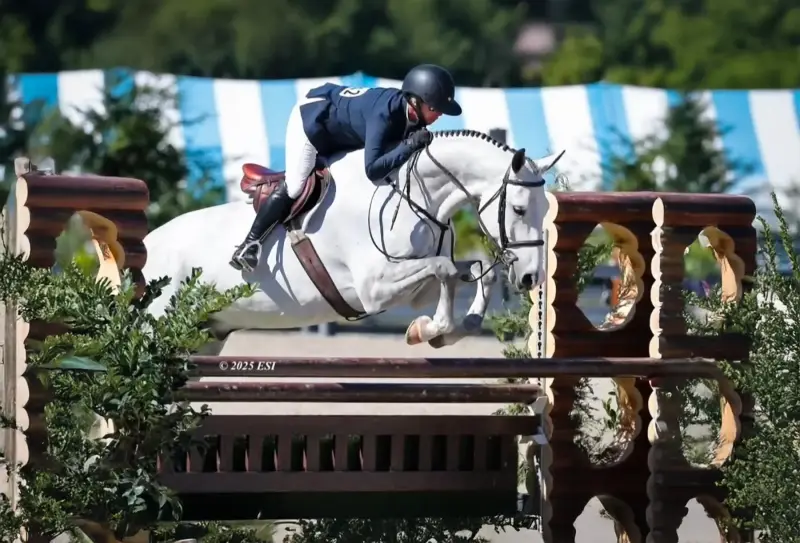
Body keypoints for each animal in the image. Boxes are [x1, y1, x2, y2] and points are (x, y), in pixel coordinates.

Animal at [142, 129, 557, 352]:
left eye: (544, 211)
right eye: (519, 209)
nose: (530, 278)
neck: (416, 196)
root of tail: (148, 247)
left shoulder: (413, 287)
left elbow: (470, 271)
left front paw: (448, 330)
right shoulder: (375, 289)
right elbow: (443, 268)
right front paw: (432, 328)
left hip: (203, 337)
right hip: (158, 329)